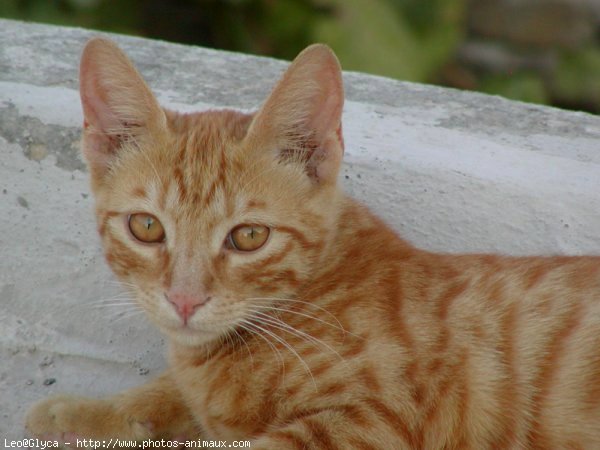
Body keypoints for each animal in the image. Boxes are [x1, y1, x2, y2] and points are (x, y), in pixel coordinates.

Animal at [24, 38, 600, 450]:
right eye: (147, 227)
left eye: (249, 236)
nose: (184, 300)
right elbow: (176, 395)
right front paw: (87, 414)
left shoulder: (376, 422)